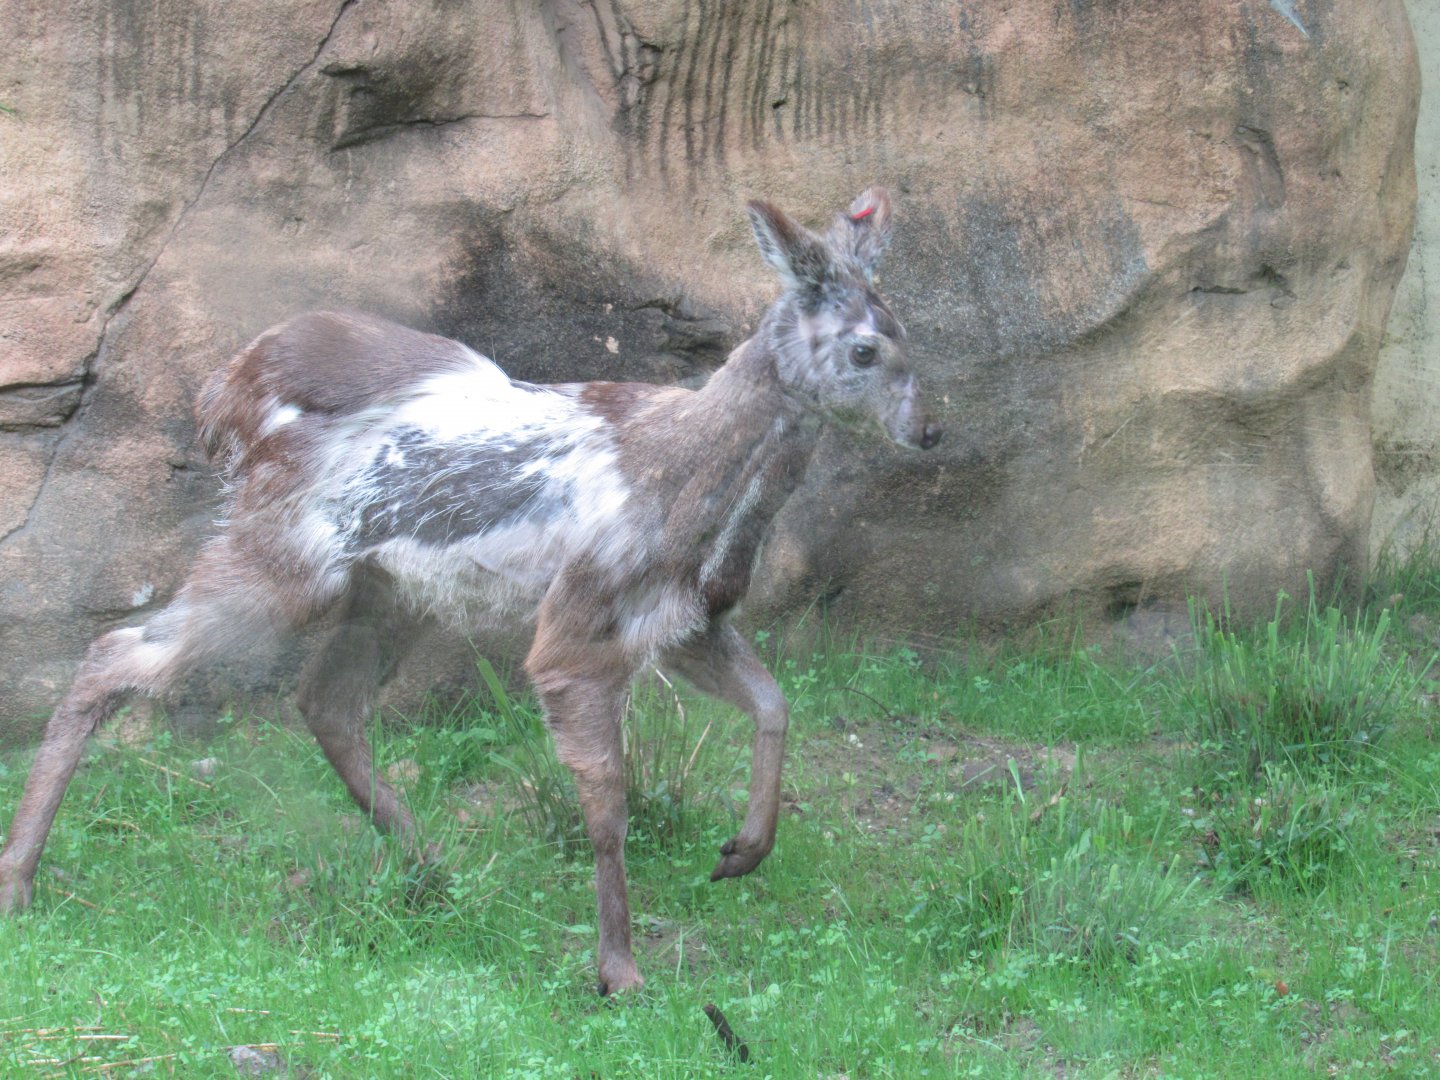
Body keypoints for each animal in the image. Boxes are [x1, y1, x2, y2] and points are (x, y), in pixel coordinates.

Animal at [0, 187, 940, 994]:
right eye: (864, 347)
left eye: (910, 334)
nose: (930, 429)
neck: (687, 485)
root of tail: (221, 400)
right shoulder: (577, 623)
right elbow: (608, 801)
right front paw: (620, 970)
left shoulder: (685, 619)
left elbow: (776, 701)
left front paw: (742, 851)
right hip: (282, 560)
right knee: (117, 651)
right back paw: (20, 880)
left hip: (387, 593)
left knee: (322, 700)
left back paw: (432, 864)